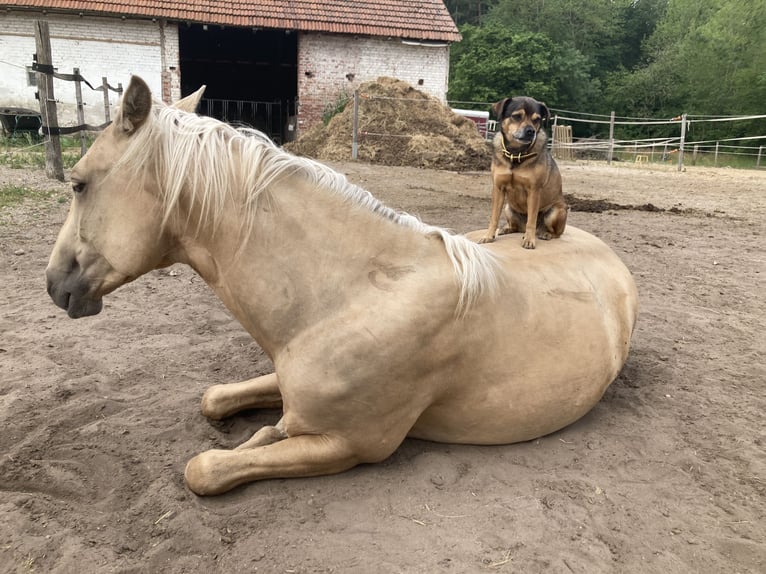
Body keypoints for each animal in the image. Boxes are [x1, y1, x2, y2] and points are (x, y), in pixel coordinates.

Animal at [480, 97, 568, 250]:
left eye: (537, 119)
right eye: (516, 116)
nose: (530, 131)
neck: (516, 154)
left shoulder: (533, 191)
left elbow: (531, 221)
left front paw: (529, 240)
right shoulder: (498, 188)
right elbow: (494, 217)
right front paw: (489, 236)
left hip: (555, 212)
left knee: (556, 233)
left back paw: (546, 234)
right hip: (508, 208)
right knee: (516, 227)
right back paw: (507, 229)